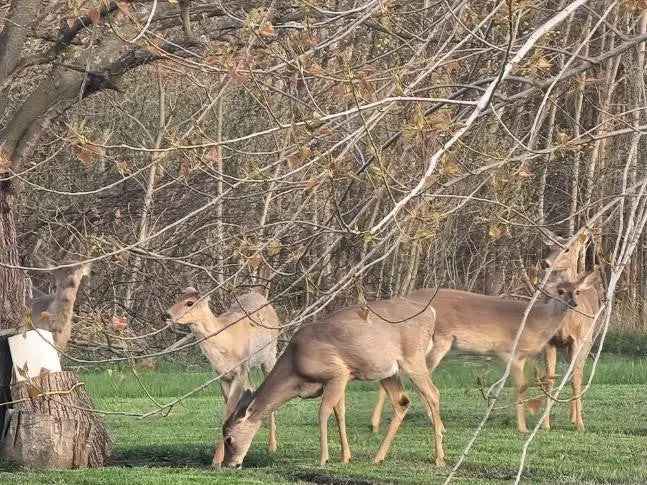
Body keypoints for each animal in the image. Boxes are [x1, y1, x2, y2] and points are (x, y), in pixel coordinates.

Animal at [163, 286, 280, 466]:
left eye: (189, 303)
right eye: (177, 298)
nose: (167, 315)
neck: (225, 342)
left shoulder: (240, 371)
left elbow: (228, 411)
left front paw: (216, 461)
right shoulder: (222, 376)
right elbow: (229, 410)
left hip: (269, 355)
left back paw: (272, 447)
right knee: (252, 389)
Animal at [220, 294, 442, 468]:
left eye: (228, 438)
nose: (230, 464)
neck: (295, 369)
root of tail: (431, 313)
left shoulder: (337, 372)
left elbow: (323, 411)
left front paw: (323, 459)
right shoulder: (341, 379)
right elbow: (339, 413)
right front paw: (346, 457)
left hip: (413, 357)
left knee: (433, 393)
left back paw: (439, 458)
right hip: (387, 371)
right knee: (402, 402)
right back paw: (378, 457)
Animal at [370, 270, 604, 432]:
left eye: (577, 291)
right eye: (560, 291)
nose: (573, 303)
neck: (535, 322)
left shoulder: (519, 357)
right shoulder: (510, 352)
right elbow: (521, 387)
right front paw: (522, 428)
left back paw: (376, 423)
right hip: (437, 342)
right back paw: (437, 424)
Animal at [540, 231, 604, 432]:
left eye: (566, 248)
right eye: (550, 246)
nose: (545, 263)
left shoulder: (578, 339)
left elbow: (576, 378)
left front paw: (580, 424)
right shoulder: (549, 341)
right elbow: (550, 378)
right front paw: (545, 424)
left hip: (588, 341)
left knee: (579, 372)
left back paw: (576, 419)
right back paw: (571, 416)